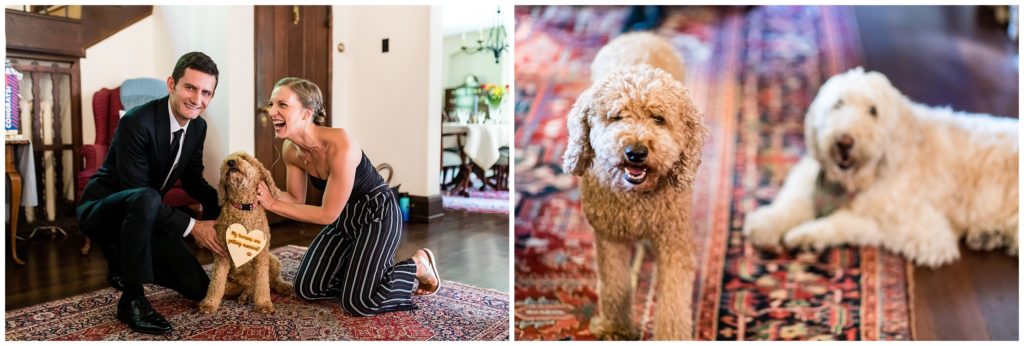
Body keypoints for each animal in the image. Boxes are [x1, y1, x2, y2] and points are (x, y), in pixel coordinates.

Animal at [197, 151, 292, 313]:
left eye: (245, 158)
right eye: (225, 161)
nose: (231, 162)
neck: (243, 207)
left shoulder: (261, 256)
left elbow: (263, 283)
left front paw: (264, 304)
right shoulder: (222, 255)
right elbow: (216, 283)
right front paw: (209, 303)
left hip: (273, 259)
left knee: (272, 281)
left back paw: (283, 286)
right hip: (234, 282)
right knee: (245, 287)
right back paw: (244, 295)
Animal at [565, 32, 708, 339]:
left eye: (659, 119)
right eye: (617, 116)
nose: (636, 152)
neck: (636, 201)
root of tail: (641, 34)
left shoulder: (673, 240)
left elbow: (674, 301)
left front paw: (671, 336)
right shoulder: (610, 237)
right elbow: (614, 285)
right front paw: (615, 328)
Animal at [745, 68, 1015, 268]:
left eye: (873, 111)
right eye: (838, 104)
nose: (844, 141)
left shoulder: (926, 233)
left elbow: (849, 220)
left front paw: (807, 234)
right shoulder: (809, 179)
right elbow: (792, 203)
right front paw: (766, 222)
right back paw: (988, 235)